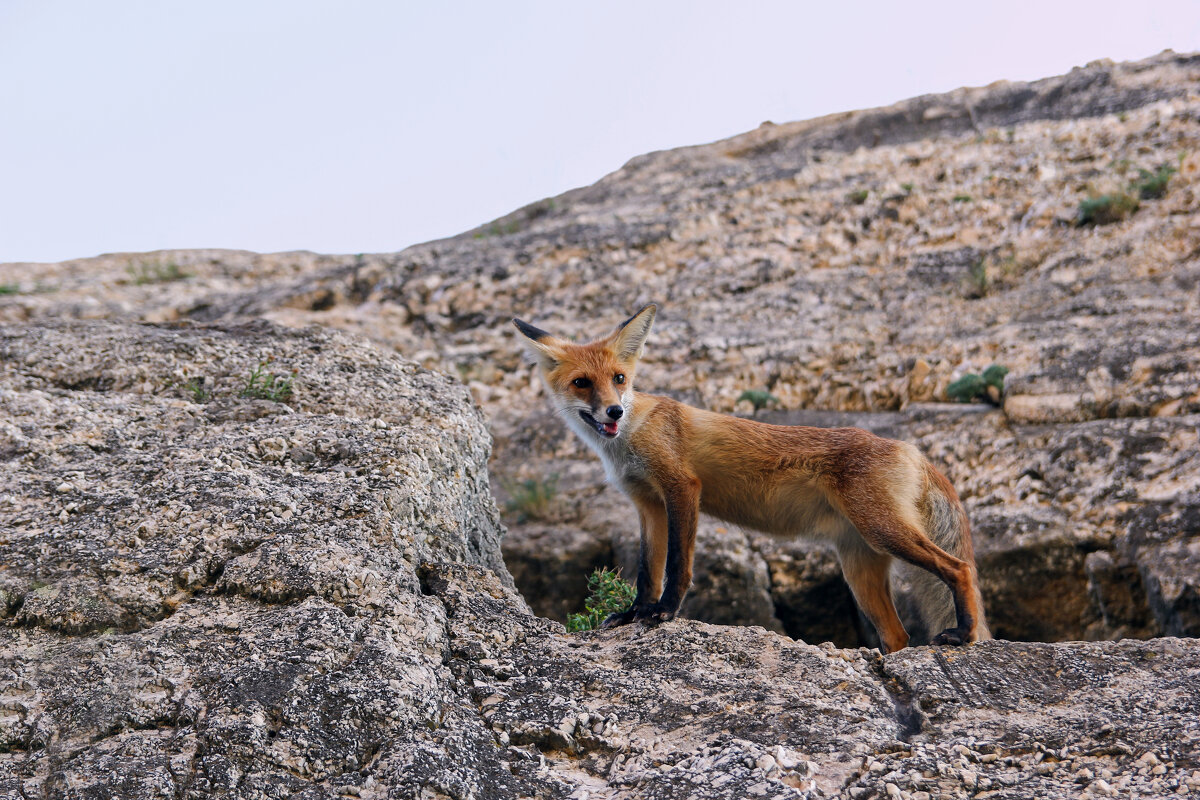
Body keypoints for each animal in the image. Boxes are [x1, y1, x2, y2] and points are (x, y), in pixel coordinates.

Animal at [511, 303, 988, 652]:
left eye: (619, 379)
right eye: (582, 382)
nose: (613, 411)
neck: (631, 436)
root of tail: (911, 448)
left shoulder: (681, 488)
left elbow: (677, 565)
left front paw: (665, 612)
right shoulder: (647, 504)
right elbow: (648, 569)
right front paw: (635, 613)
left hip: (883, 530)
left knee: (960, 568)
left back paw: (963, 635)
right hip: (860, 568)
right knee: (898, 635)